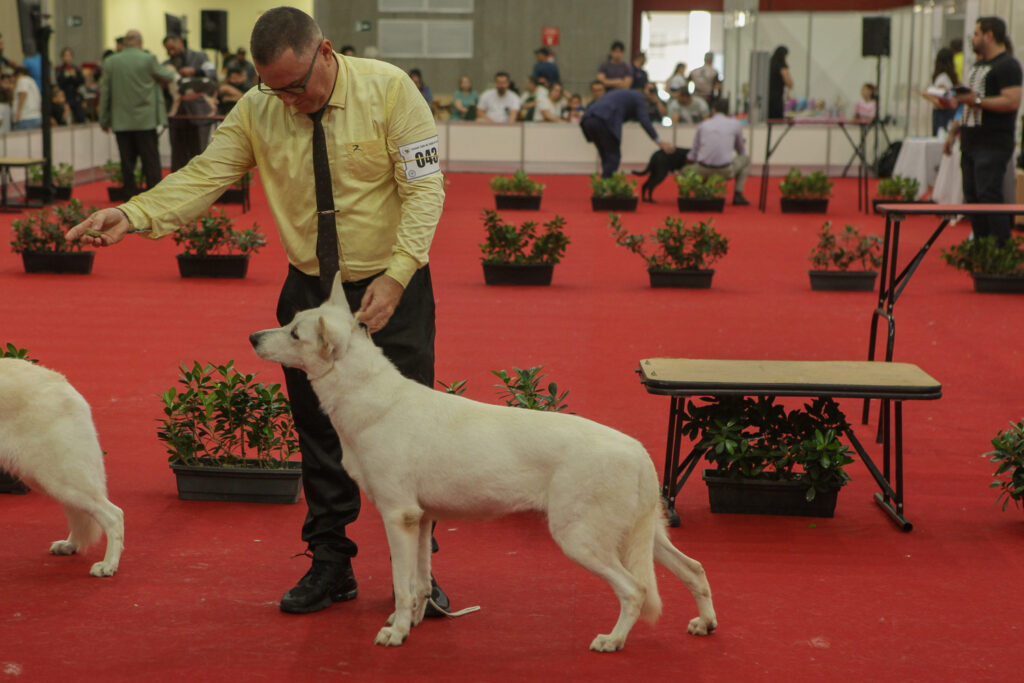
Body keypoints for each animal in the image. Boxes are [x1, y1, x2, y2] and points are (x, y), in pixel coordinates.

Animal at [0, 358, 124, 577]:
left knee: (114, 516)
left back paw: (108, 565)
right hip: (47, 478)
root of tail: (64, 384)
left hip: (59, 479)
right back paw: (70, 544)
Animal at [248, 274, 716, 651]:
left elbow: (401, 585)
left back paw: (612, 641)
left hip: (581, 538)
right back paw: (705, 624)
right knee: (693, 568)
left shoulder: (398, 516)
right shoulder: (421, 519)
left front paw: (395, 634)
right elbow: (419, 582)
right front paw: (412, 623)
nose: (253, 337)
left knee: (635, 590)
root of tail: (637, 449)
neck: (366, 395)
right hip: (640, 535)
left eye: (294, 334)